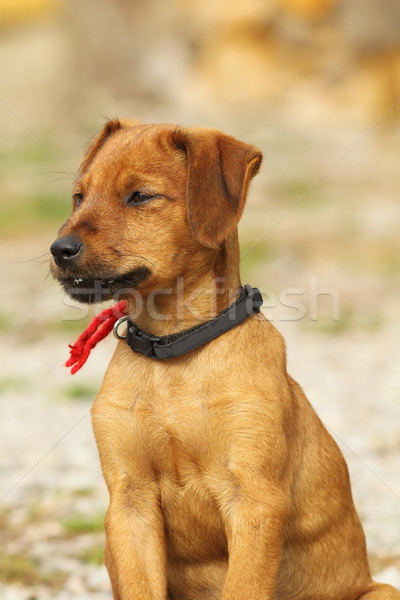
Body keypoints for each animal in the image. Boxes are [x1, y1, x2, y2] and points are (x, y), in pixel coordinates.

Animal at [50, 122, 396, 600]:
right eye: (79, 197)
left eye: (139, 196)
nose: (58, 249)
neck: (172, 351)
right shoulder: (129, 499)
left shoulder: (253, 499)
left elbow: (244, 586)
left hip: (380, 590)